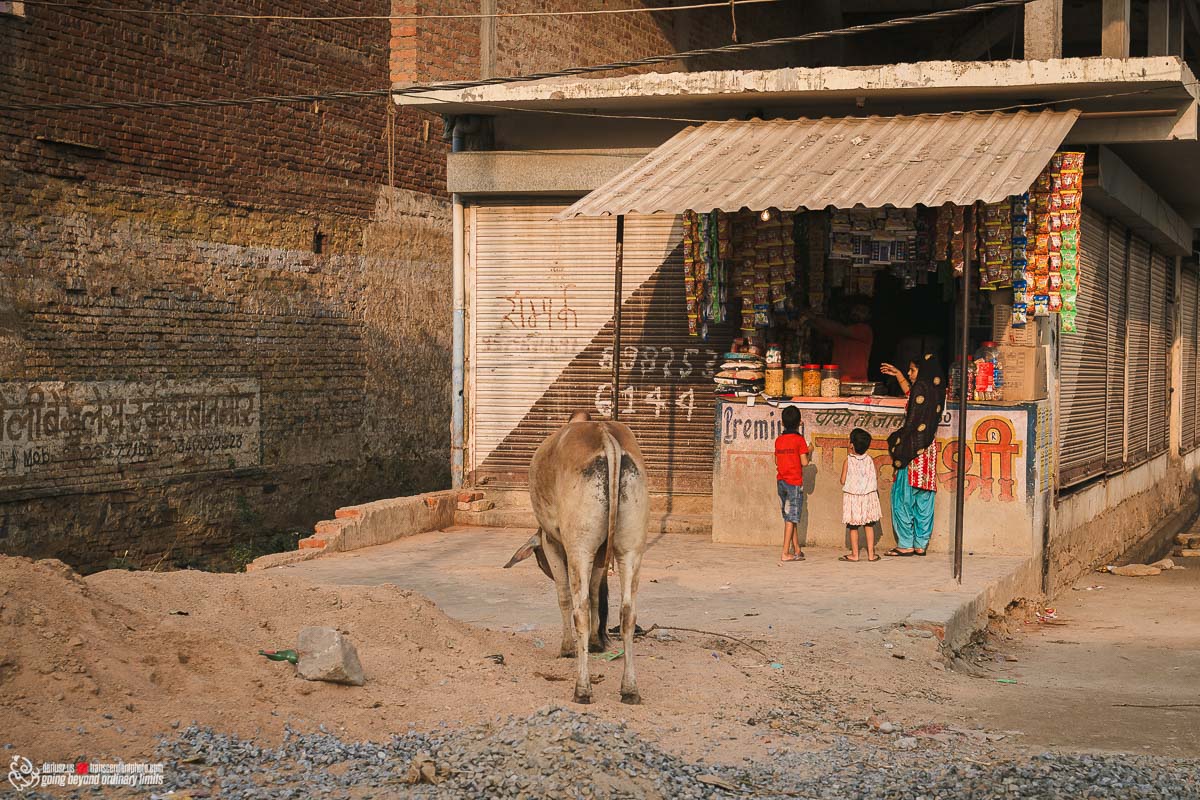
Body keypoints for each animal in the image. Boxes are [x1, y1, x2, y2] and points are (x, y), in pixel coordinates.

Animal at [516, 410, 648, 705]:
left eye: (539, 557)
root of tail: (605, 435)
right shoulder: (600, 555)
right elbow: (598, 591)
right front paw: (598, 642)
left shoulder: (552, 542)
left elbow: (565, 597)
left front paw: (567, 648)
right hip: (630, 549)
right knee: (627, 612)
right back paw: (630, 688)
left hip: (579, 547)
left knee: (581, 610)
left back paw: (582, 688)